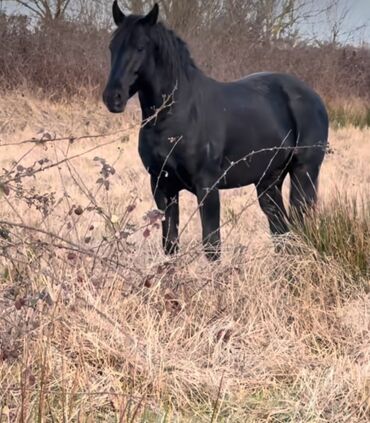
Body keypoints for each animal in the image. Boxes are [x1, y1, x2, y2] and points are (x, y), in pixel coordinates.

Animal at [102, 2, 328, 262]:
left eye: (140, 47)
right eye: (112, 46)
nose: (113, 97)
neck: (175, 115)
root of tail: (313, 97)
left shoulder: (207, 187)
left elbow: (212, 245)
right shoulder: (162, 187)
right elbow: (170, 243)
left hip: (304, 174)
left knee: (300, 227)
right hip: (268, 183)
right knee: (281, 232)